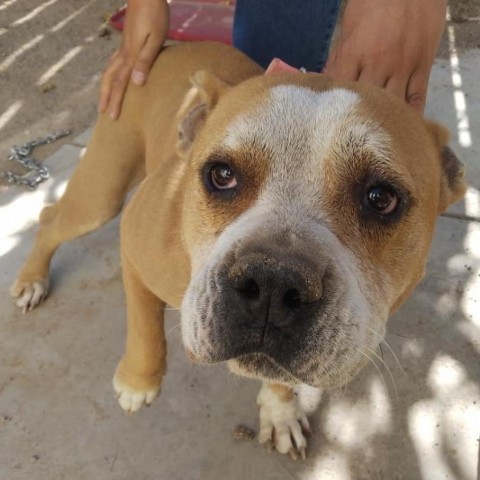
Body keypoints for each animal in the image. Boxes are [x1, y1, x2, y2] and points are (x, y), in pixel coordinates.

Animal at [11, 43, 466, 460]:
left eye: (381, 198)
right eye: (221, 175)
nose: (273, 284)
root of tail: (168, 44)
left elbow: (280, 380)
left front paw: (280, 411)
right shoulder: (134, 246)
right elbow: (143, 322)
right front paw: (138, 381)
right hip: (101, 195)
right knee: (51, 217)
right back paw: (32, 279)